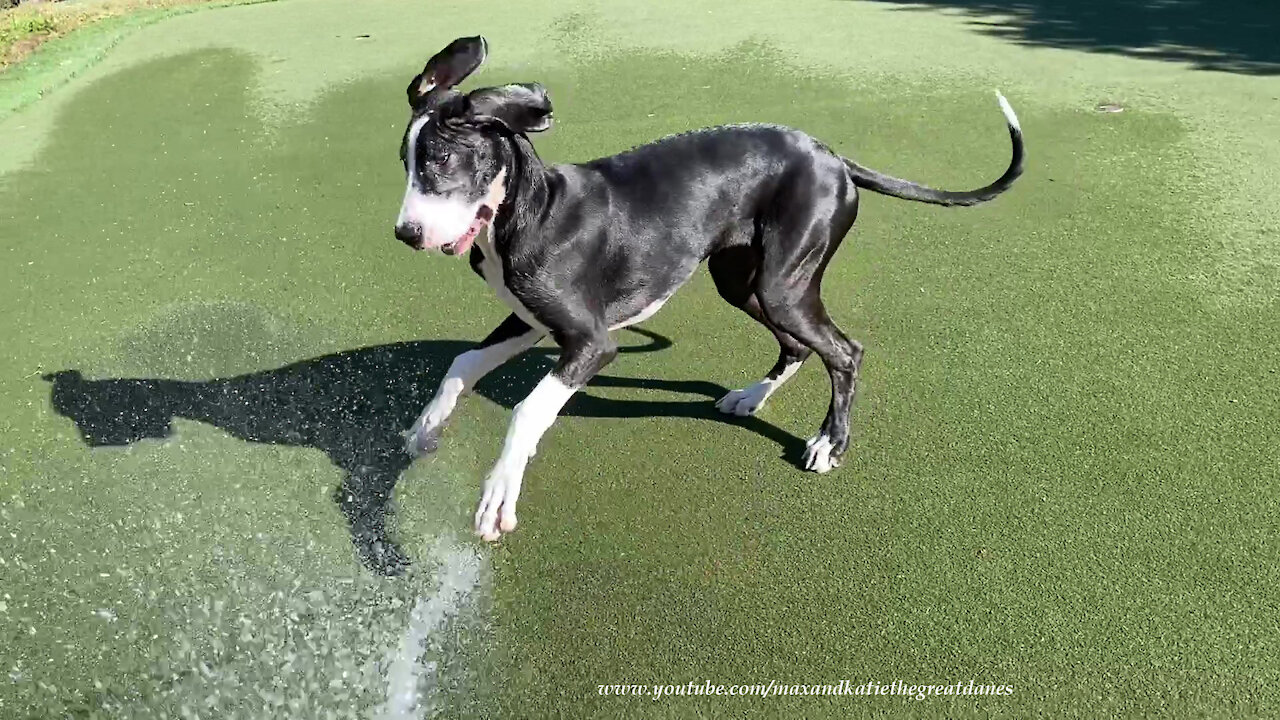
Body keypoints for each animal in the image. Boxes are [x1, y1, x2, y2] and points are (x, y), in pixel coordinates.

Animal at [394, 35, 1024, 538]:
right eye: (405, 161)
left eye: (442, 158)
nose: (405, 234)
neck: (529, 209)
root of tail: (834, 157)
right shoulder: (529, 321)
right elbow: (461, 363)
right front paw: (426, 428)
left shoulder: (591, 342)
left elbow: (526, 411)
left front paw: (498, 496)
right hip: (743, 281)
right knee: (798, 346)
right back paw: (750, 397)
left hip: (783, 284)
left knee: (845, 351)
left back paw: (829, 442)